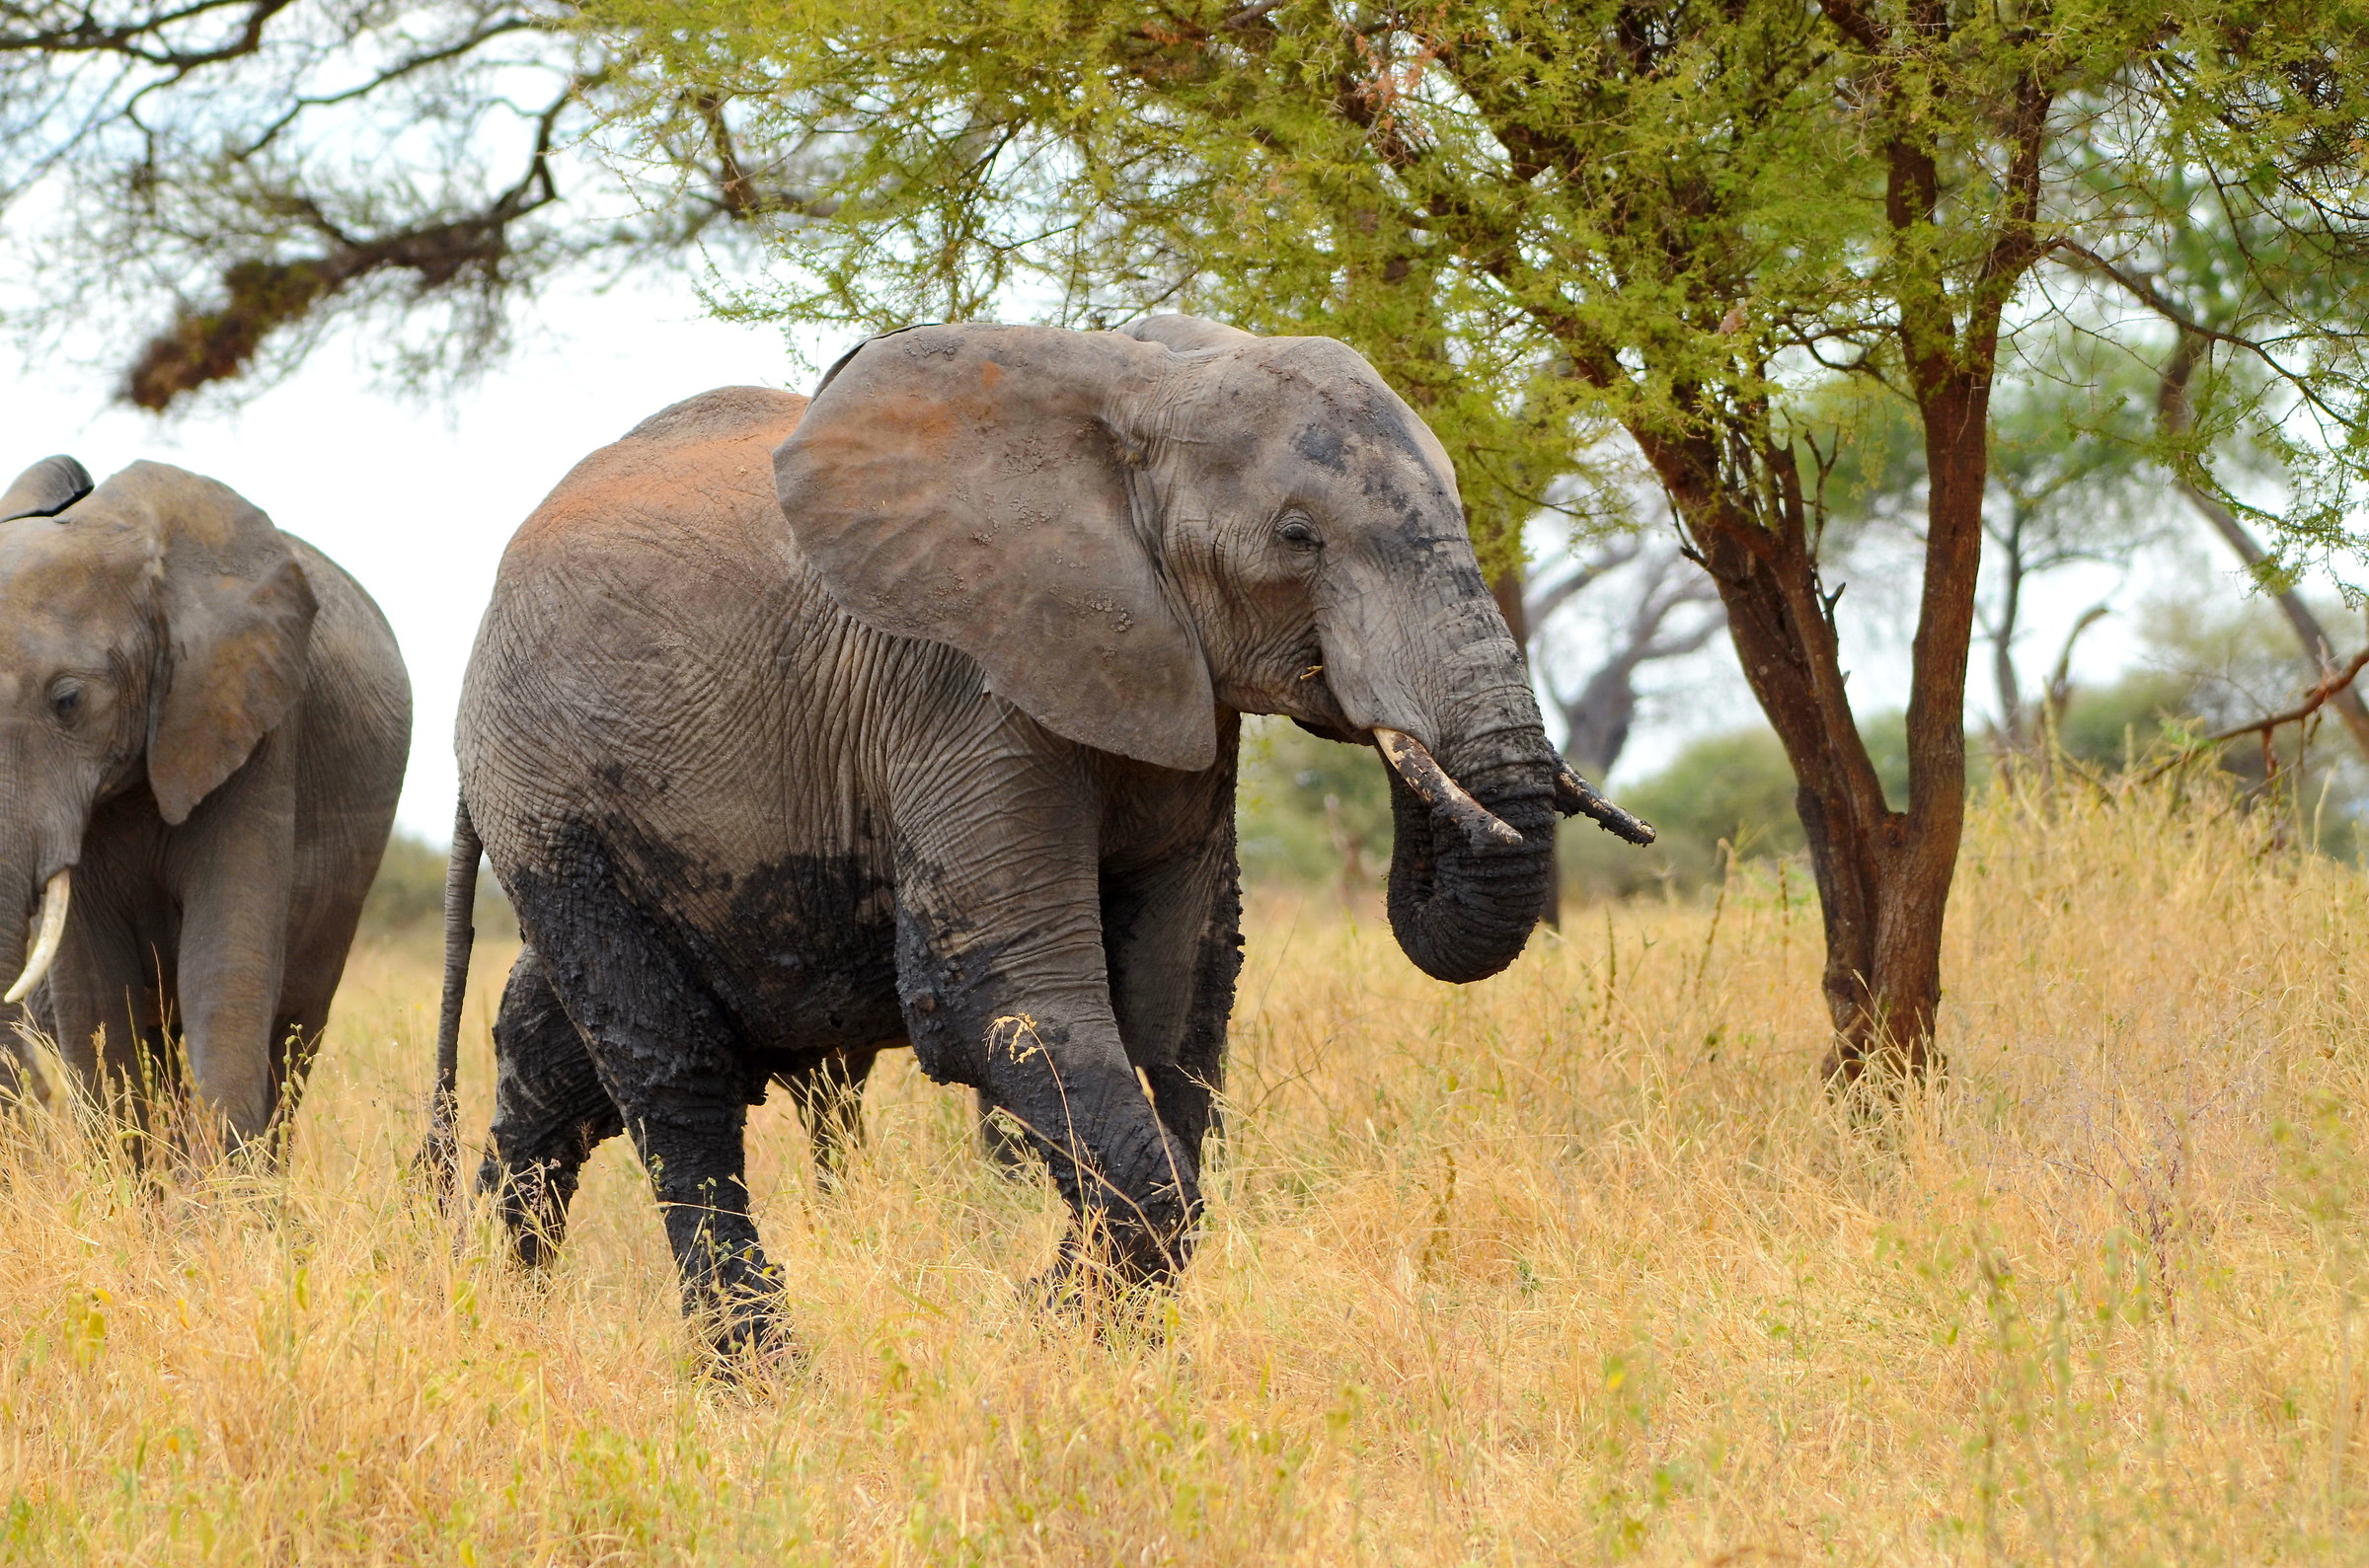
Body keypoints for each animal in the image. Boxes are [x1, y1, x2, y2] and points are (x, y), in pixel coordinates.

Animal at [0, 455, 412, 1146]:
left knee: (294, 1031)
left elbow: (224, 970)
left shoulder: (254, 722)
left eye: (68, 702)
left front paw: (218, 1182)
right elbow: (95, 993)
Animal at [425, 316, 1650, 1355]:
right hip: (550, 793)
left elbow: (1172, 995)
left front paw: (1066, 1321)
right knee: (668, 1072)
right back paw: (758, 1375)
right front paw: (1040, 1322)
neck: (1139, 386)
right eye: (1298, 536)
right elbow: (1000, 995)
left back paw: (500, 1312)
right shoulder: (964, 685)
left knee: (551, 1052)